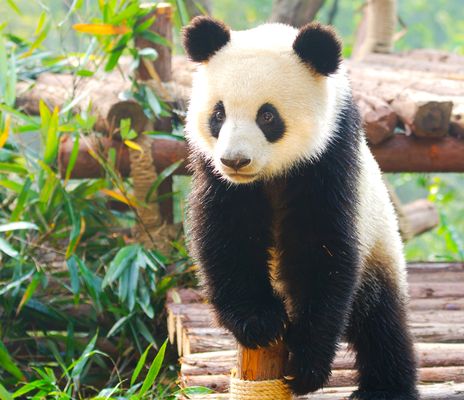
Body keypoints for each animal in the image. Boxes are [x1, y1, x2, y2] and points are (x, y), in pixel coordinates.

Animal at [181, 16, 416, 400]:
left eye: (267, 116)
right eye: (218, 113)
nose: (235, 161)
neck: (271, 174)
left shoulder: (329, 159)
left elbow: (319, 248)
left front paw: (305, 366)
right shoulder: (215, 174)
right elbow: (229, 233)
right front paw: (260, 322)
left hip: (379, 244)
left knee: (380, 320)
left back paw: (386, 388)